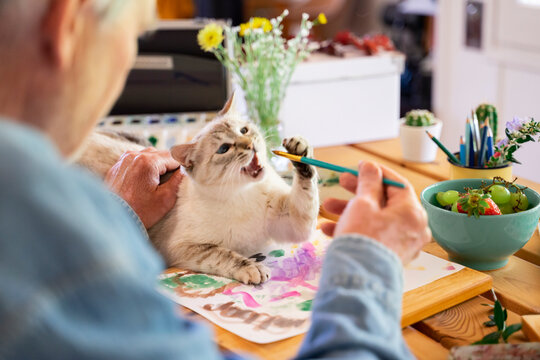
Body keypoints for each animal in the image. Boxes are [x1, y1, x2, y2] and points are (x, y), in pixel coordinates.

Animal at [78, 94, 318, 286]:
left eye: (244, 130)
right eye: (224, 149)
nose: (250, 145)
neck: (243, 194)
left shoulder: (293, 221)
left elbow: (307, 185)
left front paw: (298, 149)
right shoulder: (185, 247)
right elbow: (225, 255)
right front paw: (253, 268)